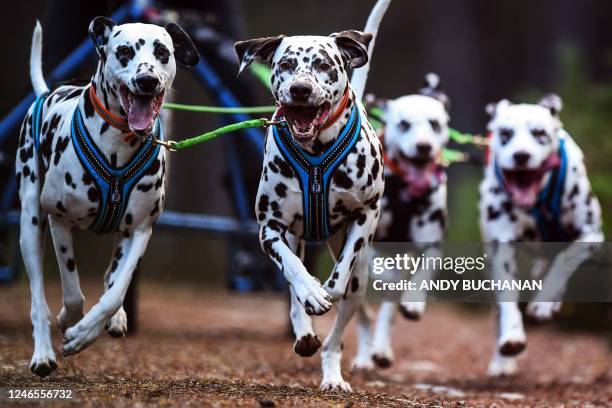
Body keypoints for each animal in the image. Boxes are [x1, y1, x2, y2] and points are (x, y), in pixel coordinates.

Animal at [17, 18, 198, 376]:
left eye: (162, 51)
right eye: (124, 51)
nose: (147, 80)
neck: (118, 145)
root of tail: (46, 92)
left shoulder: (139, 230)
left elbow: (115, 292)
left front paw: (85, 333)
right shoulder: (58, 221)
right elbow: (73, 295)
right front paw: (69, 322)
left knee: (110, 280)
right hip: (30, 222)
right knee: (37, 298)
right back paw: (43, 353)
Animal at [232, 0, 390, 392]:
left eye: (323, 64)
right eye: (285, 64)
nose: (301, 89)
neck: (316, 152)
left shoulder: (364, 216)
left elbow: (339, 277)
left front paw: (326, 291)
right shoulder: (271, 229)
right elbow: (293, 271)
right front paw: (311, 294)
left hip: (360, 277)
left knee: (340, 331)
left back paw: (333, 374)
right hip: (296, 238)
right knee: (294, 290)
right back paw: (305, 330)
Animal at [352, 73, 452, 370]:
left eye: (434, 123)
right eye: (404, 124)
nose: (423, 147)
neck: (406, 195)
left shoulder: (431, 245)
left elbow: (422, 276)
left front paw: (414, 303)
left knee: (386, 311)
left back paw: (381, 348)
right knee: (363, 315)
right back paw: (365, 356)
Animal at [478, 95, 604, 376]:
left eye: (539, 133)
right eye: (505, 133)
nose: (521, 155)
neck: (539, 202)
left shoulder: (591, 235)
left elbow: (564, 262)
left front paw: (545, 302)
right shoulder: (502, 247)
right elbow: (508, 298)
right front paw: (512, 337)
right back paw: (501, 362)